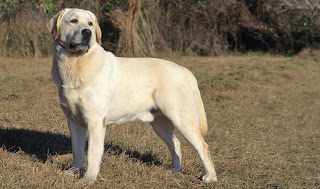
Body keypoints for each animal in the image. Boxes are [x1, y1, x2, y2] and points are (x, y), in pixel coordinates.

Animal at [47, 8, 218, 182]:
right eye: (74, 21)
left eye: (90, 24)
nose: (87, 32)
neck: (75, 64)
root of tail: (184, 71)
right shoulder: (74, 121)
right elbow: (77, 150)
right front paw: (73, 172)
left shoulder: (95, 120)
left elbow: (93, 153)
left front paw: (88, 179)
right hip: (160, 123)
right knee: (175, 143)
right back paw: (175, 170)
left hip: (182, 119)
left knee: (203, 146)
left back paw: (210, 176)